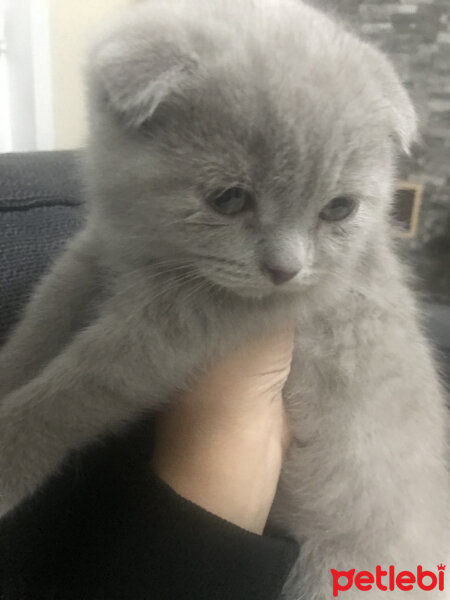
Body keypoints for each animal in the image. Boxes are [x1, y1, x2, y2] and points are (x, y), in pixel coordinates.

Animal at [0, 1, 450, 600]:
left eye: (339, 209)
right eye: (230, 199)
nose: (285, 270)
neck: (152, 255)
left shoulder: (184, 325)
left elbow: (82, 385)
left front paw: (7, 454)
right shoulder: (96, 254)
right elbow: (42, 319)